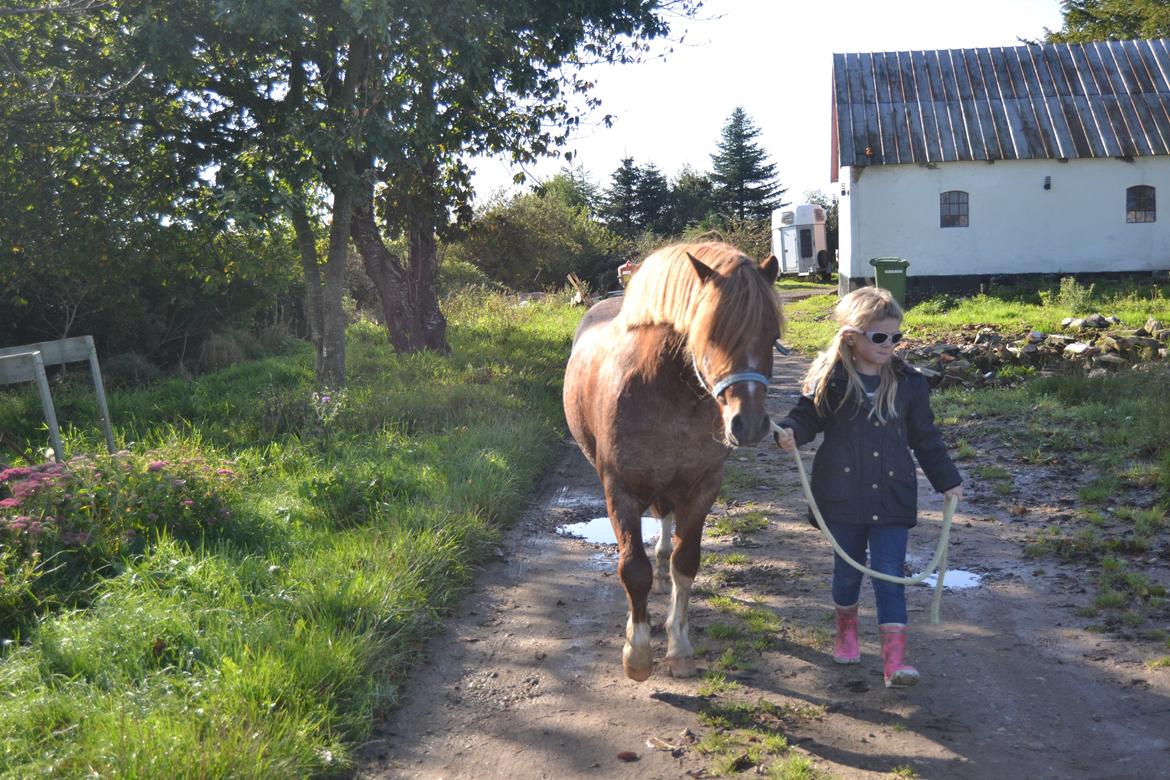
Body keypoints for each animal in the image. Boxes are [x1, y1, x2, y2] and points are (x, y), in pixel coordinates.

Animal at [561, 240, 781, 678]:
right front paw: (638, 652)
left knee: (664, 522)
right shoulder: (620, 491)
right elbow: (633, 570)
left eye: (772, 335)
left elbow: (686, 562)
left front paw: (678, 646)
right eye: (710, 334)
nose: (748, 424)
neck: (664, 391)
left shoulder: (702, 488)